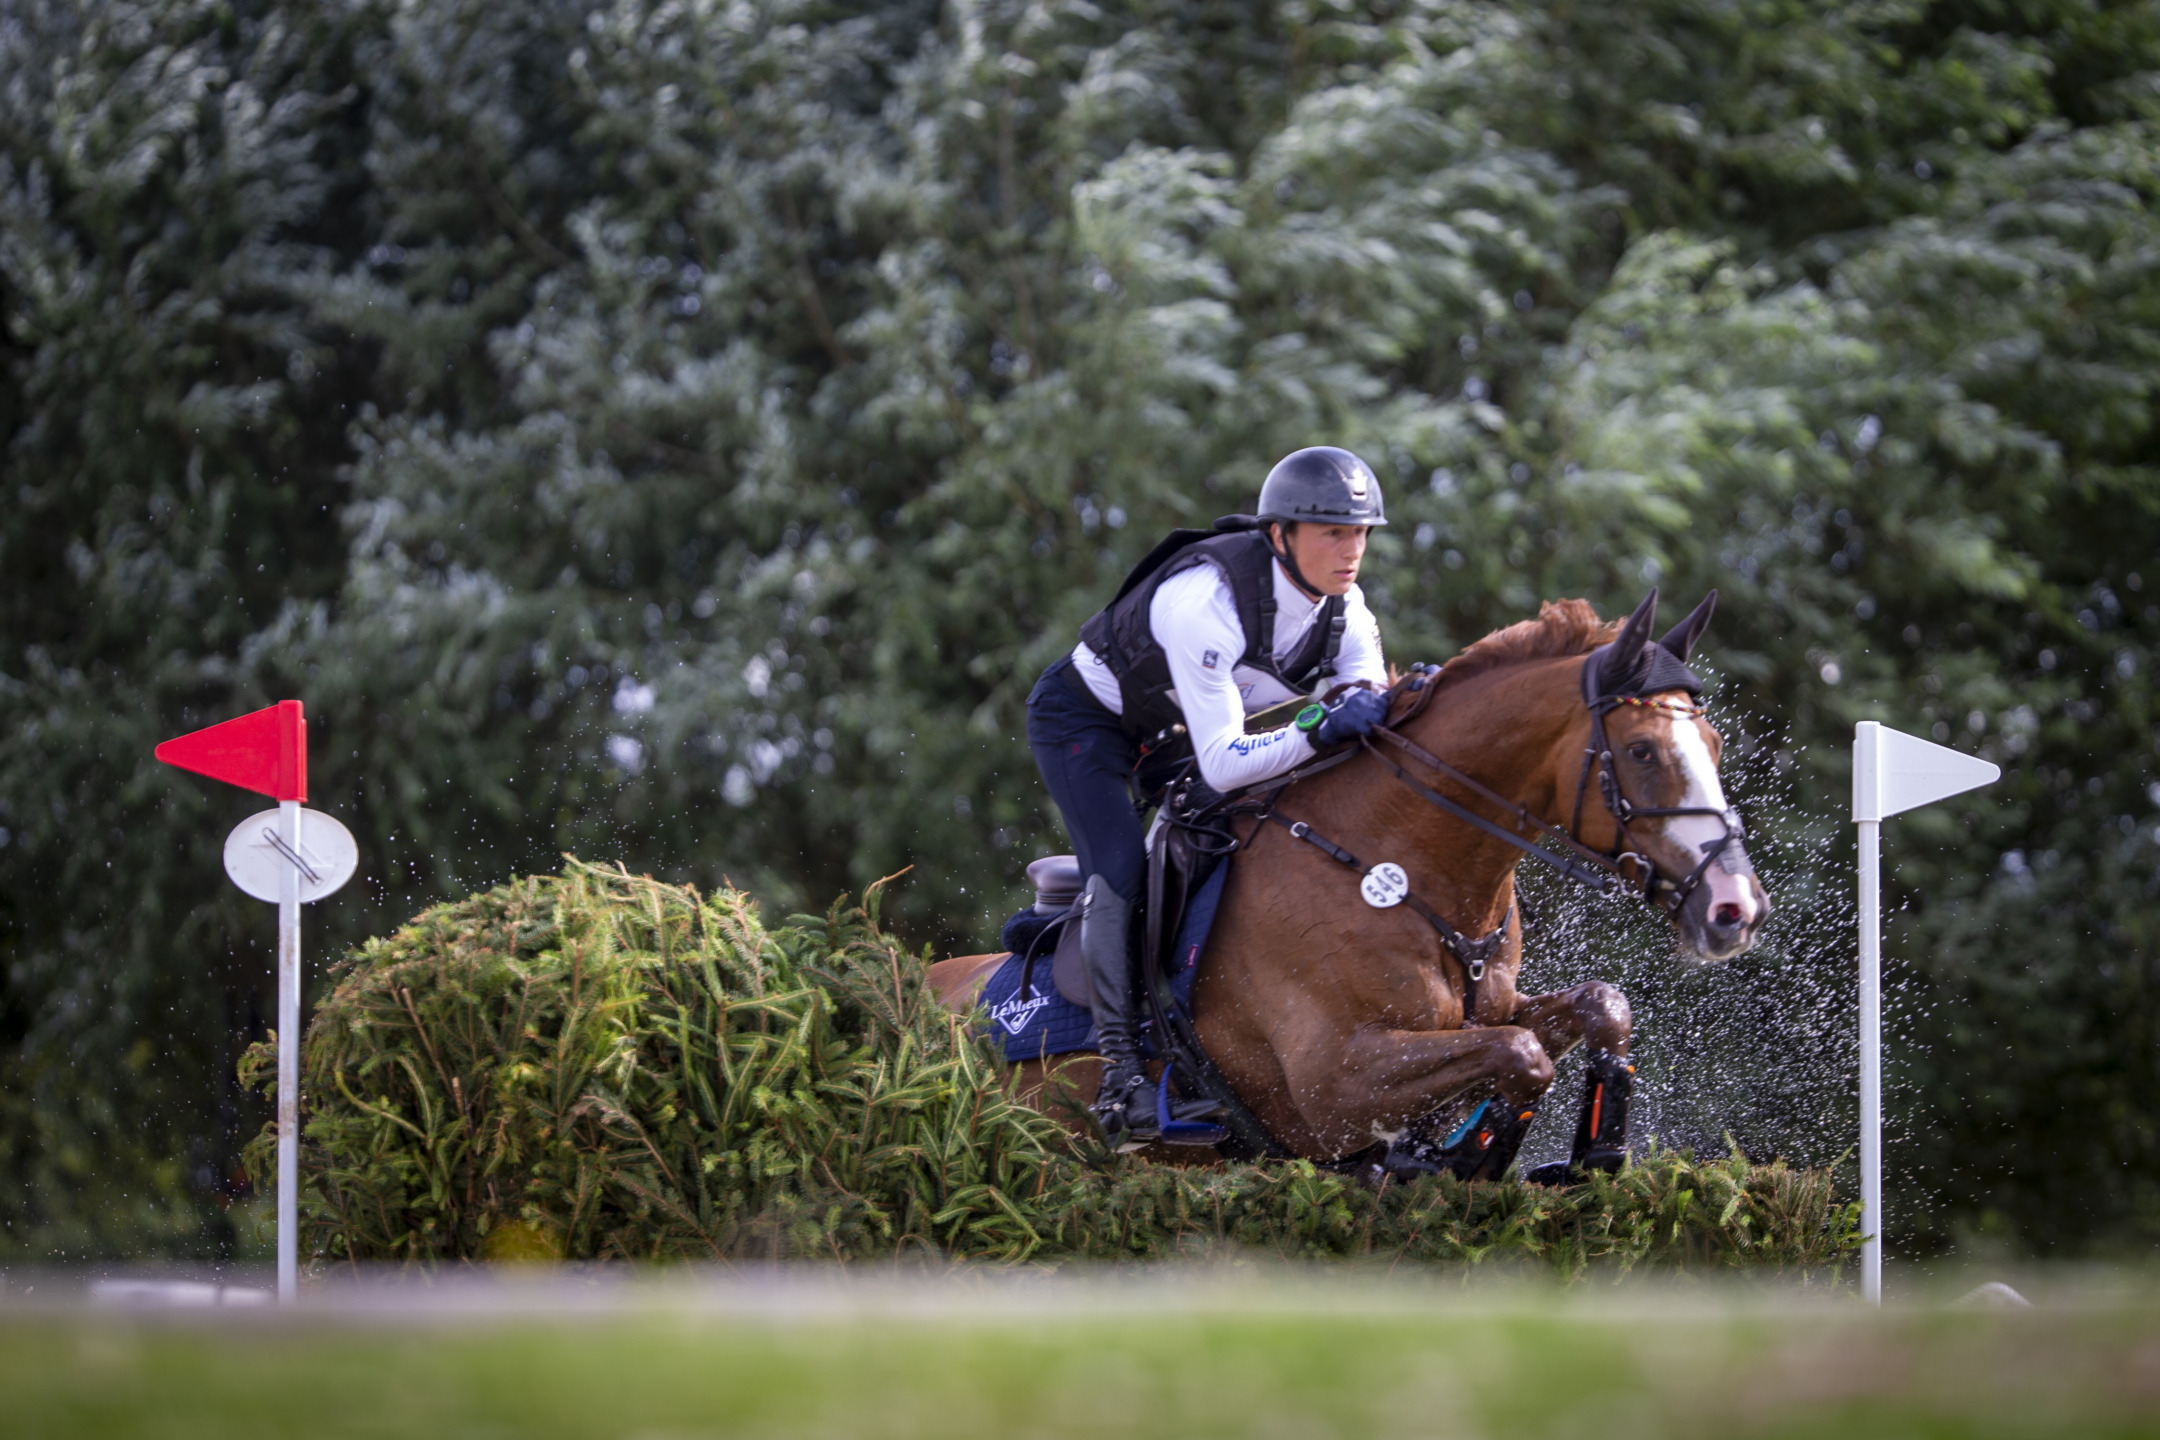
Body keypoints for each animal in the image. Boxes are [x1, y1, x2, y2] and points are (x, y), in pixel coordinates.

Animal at [928, 591, 1771, 1165]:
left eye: (1714, 743)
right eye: (1641, 752)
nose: (1735, 907)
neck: (1402, 868)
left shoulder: (1489, 1012)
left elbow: (1598, 1008)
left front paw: (1590, 1152)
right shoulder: (1332, 1087)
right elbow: (1520, 1056)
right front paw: (1458, 1160)